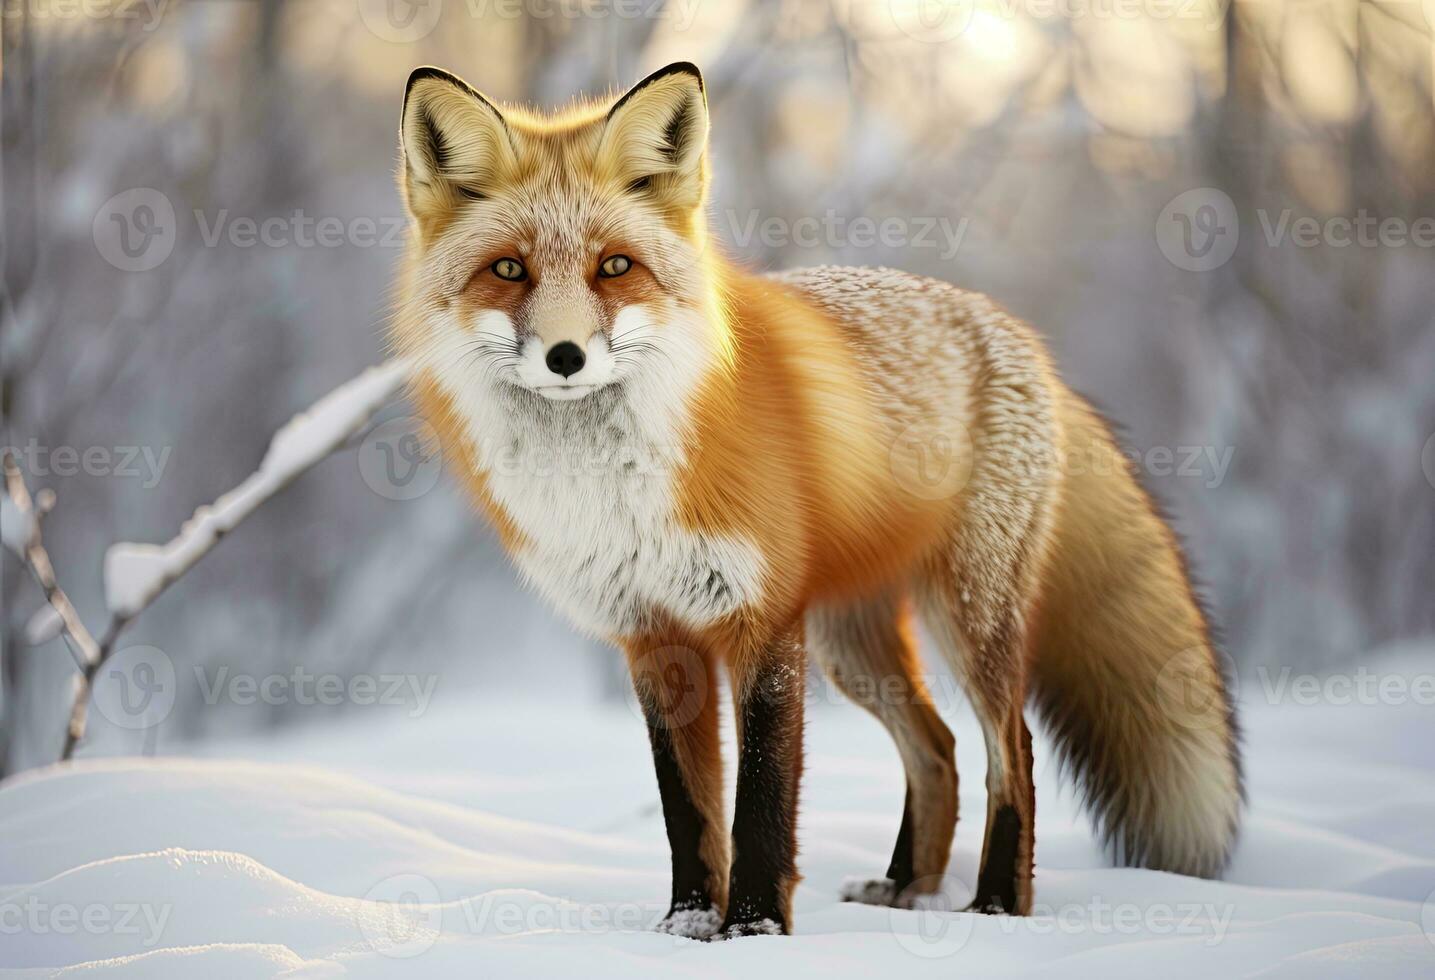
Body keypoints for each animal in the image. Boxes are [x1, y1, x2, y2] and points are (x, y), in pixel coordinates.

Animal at [393, 61, 1245, 941]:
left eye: (615, 267)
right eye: (509, 270)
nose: (565, 356)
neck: (617, 488)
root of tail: (1018, 336)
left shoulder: (761, 618)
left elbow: (761, 801)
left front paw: (753, 931)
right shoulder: (652, 636)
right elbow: (687, 811)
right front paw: (686, 927)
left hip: (968, 618)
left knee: (1010, 751)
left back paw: (996, 906)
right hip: (853, 644)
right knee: (937, 748)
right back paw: (906, 888)